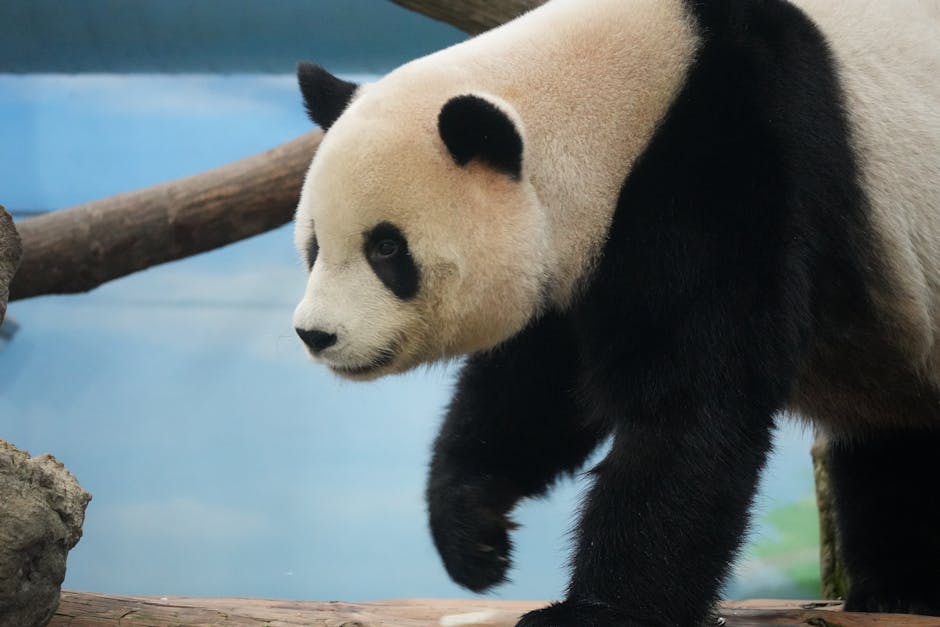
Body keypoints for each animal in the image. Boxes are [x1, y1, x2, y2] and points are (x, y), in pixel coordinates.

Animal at [291, 0, 940, 624]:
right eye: (314, 245)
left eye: (386, 248)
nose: (315, 334)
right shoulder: (581, 260)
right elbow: (537, 388)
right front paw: (474, 533)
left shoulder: (735, 157)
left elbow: (693, 405)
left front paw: (594, 611)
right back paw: (898, 590)